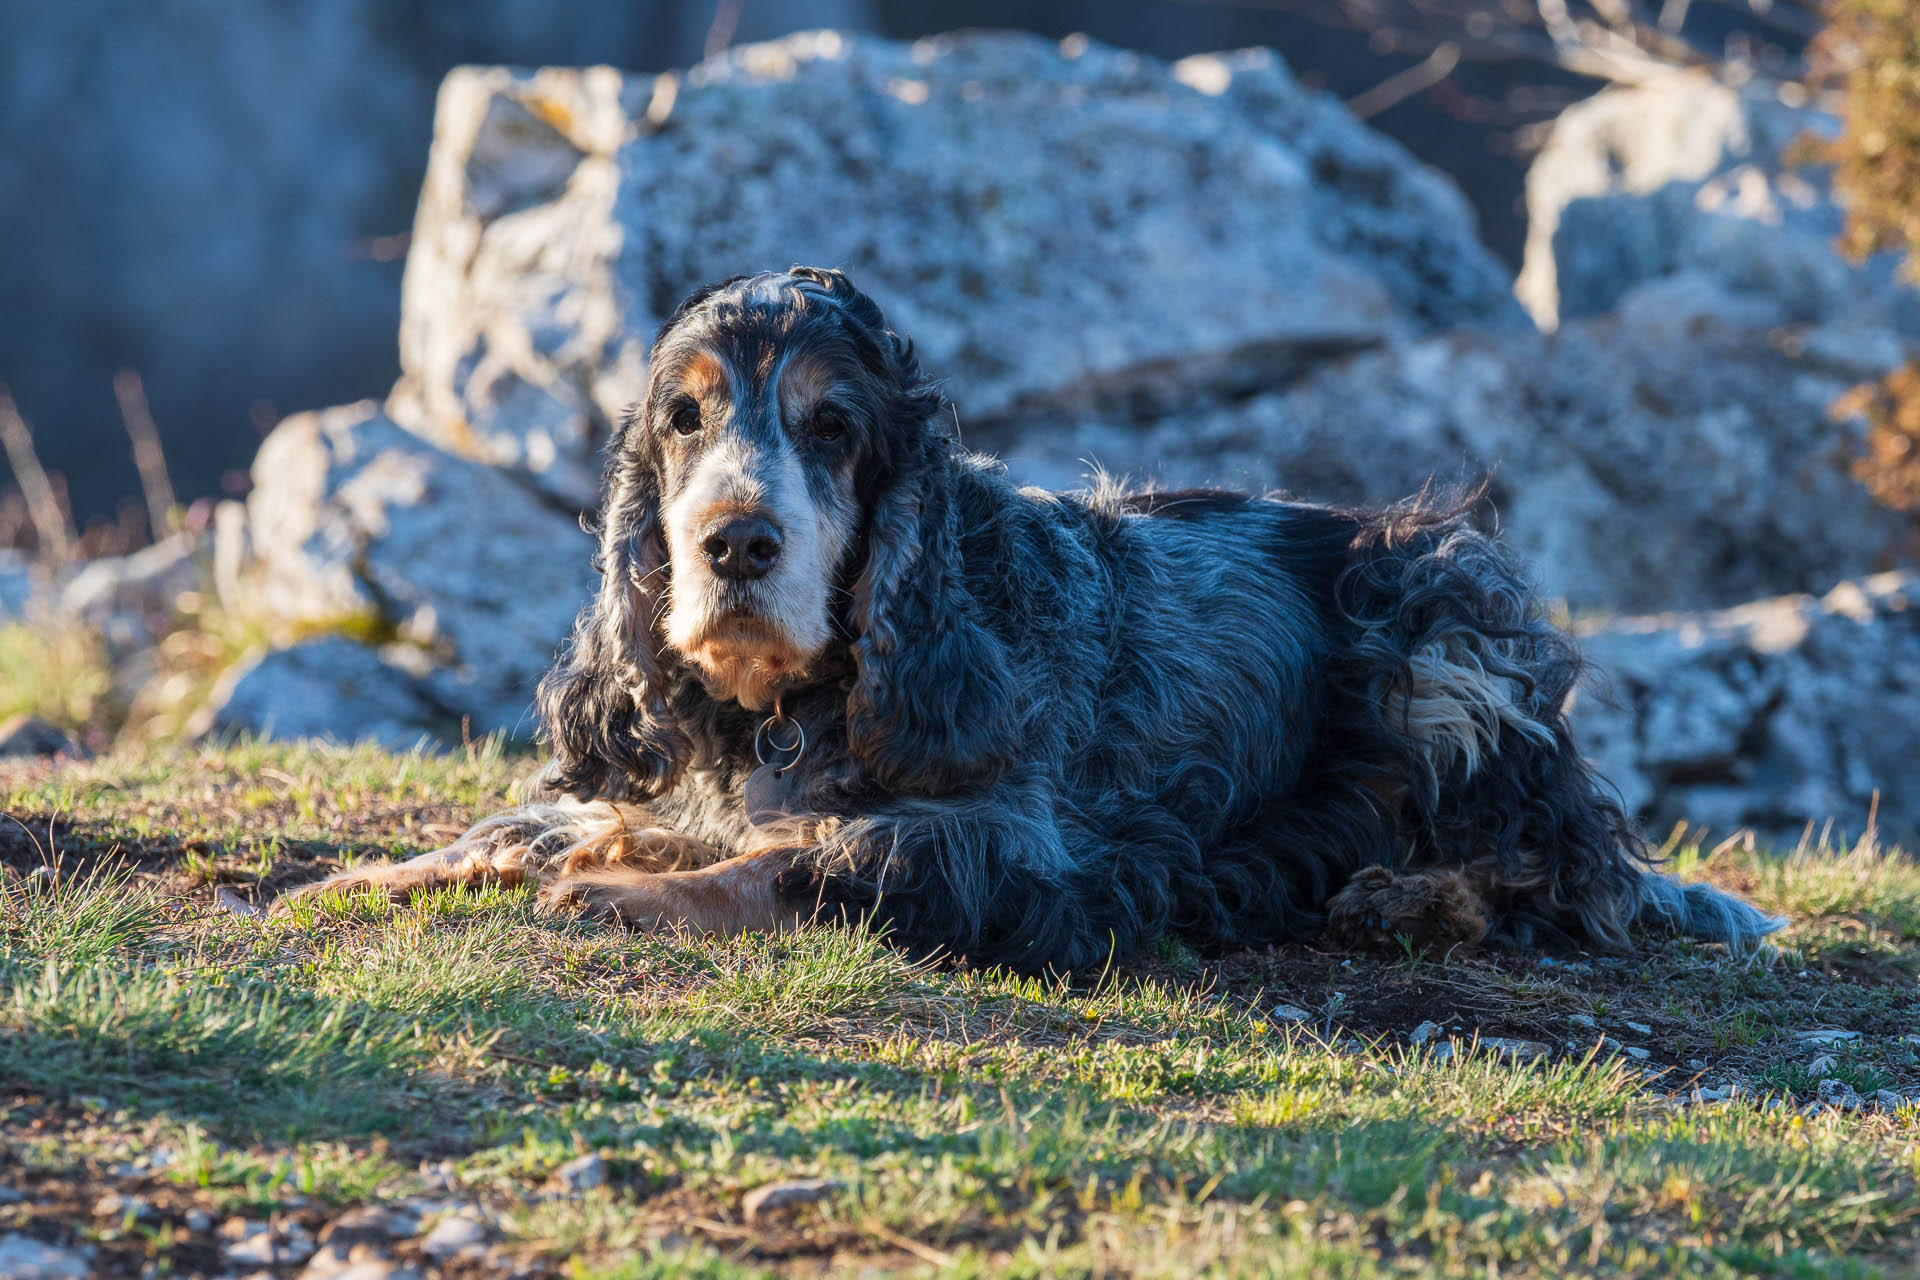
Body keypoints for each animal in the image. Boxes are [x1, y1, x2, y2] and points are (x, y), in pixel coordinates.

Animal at [274, 270, 1781, 971]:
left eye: (832, 427)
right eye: (684, 419)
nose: (736, 541)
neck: (789, 710)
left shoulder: (1033, 853)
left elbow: (819, 861)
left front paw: (623, 888)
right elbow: (536, 820)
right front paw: (358, 877)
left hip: (1445, 631)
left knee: (1569, 866)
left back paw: (1406, 891)